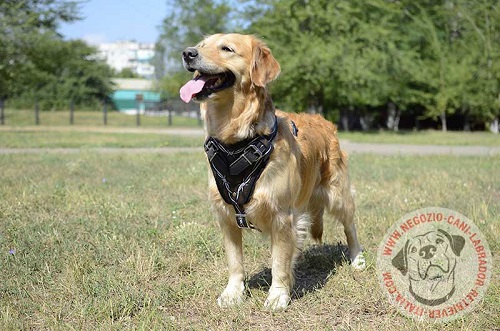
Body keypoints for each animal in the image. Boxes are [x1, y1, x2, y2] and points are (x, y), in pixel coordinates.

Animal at [180, 33, 364, 312]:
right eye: (202, 45)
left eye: (227, 49)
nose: (188, 53)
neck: (237, 142)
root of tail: (324, 121)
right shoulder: (226, 216)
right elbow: (235, 262)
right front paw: (233, 293)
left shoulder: (282, 217)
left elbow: (279, 263)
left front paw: (278, 296)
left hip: (338, 194)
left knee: (350, 227)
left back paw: (356, 259)